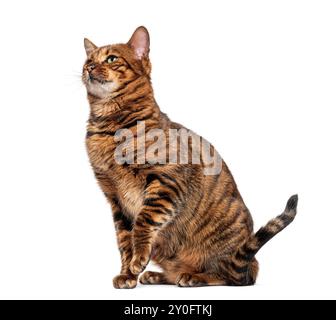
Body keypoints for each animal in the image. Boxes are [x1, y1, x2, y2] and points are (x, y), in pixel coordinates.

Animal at [82, 26, 298, 288]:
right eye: (88, 60)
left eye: (112, 59)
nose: (90, 67)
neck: (109, 127)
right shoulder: (115, 199)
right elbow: (124, 241)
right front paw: (127, 274)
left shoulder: (165, 182)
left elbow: (143, 223)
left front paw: (138, 258)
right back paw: (158, 275)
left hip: (227, 252)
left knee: (232, 276)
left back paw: (195, 276)